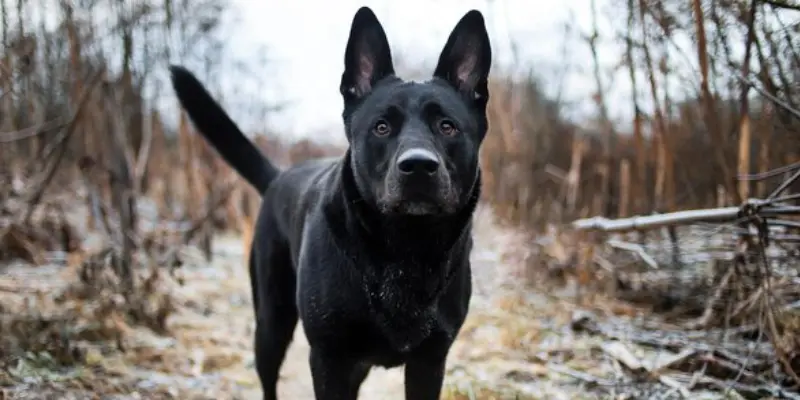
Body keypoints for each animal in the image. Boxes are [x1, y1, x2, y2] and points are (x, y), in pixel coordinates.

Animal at [172, 6, 490, 400]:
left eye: (447, 126)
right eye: (381, 127)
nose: (418, 166)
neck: (404, 251)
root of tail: (278, 176)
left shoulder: (429, 362)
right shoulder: (328, 359)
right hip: (272, 323)